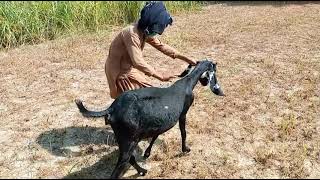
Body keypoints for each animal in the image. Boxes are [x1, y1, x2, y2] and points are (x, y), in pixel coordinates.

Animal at [76, 59, 224, 178]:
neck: (188, 82)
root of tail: (112, 109)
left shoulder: (159, 122)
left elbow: (156, 134)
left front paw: (147, 153)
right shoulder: (183, 113)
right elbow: (183, 132)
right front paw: (185, 149)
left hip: (124, 138)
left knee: (130, 158)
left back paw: (142, 170)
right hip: (129, 139)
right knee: (120, 167)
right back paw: (140, 171)